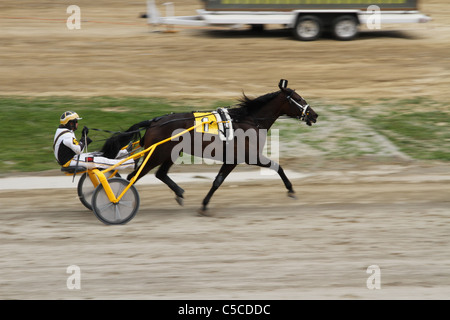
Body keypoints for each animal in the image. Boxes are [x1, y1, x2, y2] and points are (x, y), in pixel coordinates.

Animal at [100, 79, 318, 214]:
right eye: (299, 99)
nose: (314, 115)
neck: (248, 120)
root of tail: (154, 121)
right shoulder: (248, 156)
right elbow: (277, 167)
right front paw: (291, 190)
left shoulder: (233, 159)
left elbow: (217, 181)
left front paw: (204, 204)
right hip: (157, 154)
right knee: (133, 177)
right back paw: (116, 200)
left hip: (171, 153)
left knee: (160, 174)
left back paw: (179, 193)